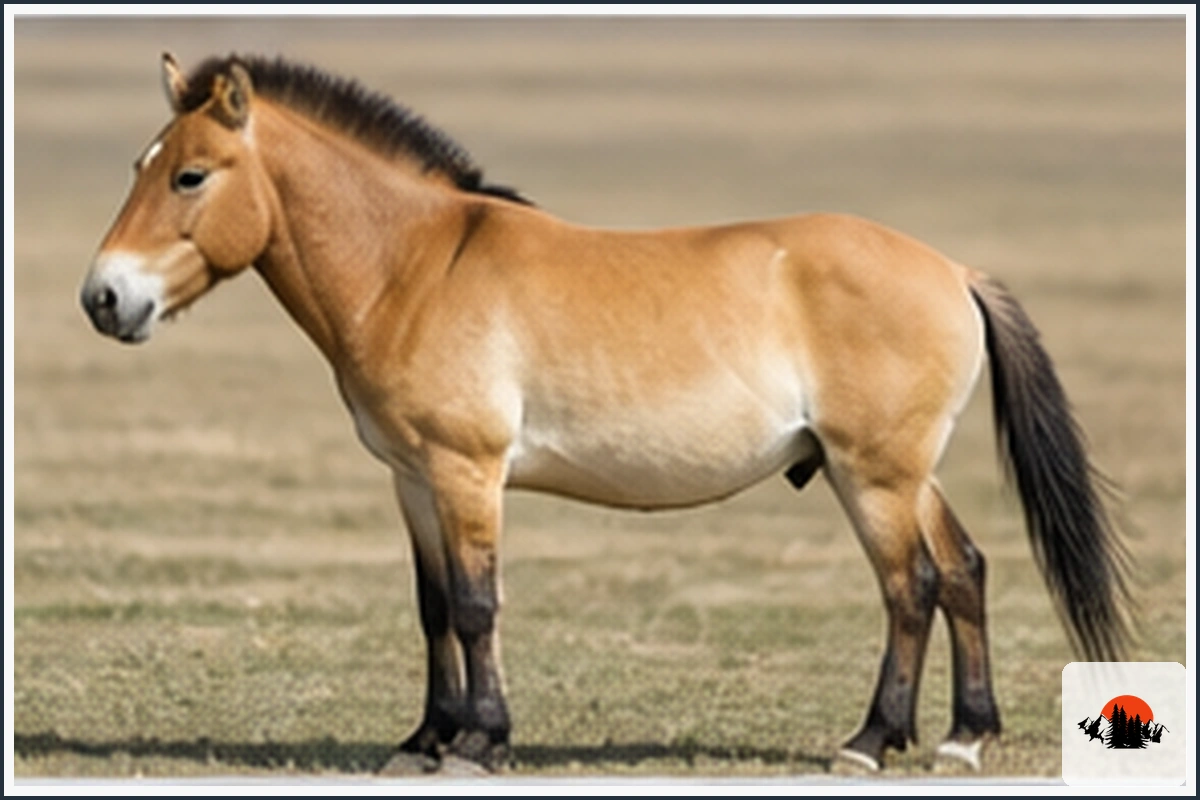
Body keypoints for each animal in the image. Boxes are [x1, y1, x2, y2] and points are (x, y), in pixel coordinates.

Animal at [79, 53, 1132, 775]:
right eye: (138, 163)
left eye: (190, 176)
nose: (103, 298)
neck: (414, 269)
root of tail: (951, 270)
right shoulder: (412, 480)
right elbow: (432, 608)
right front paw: (423, 739)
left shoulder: (468, 473)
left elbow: (476, 605)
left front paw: (481, 743)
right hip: (897, 472)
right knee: (962, 570)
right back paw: (961, 736)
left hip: (873, 474)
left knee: (910, 585)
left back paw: (873, 739)